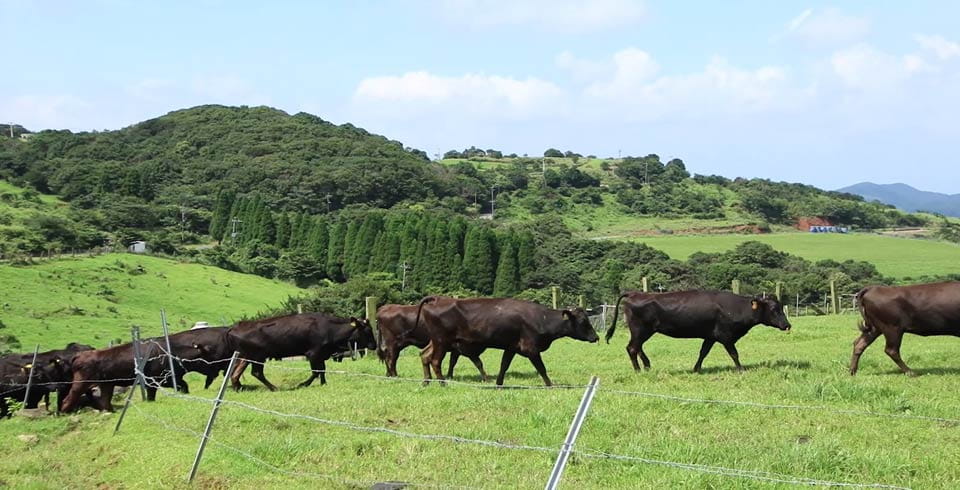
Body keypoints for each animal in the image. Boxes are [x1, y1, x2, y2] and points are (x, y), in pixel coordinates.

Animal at [225, 314, 376, 390]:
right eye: (368, 331)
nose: (374, 345)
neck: (330, 329)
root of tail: (236, 326)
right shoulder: (313, 353)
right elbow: (316, 371)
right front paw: (303, 384)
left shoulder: (321, 354)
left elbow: (322, 370)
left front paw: (324, 383)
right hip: (258, 356)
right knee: (256, 373)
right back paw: (274, 388)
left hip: (245, 356)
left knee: (235, 372)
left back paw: (238, 387)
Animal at [414, 294, 596, 386]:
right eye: (583, 322)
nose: (596, 337)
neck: (541, 319)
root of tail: (438, 299)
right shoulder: (531, 349)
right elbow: (542, 369)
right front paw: (550, 385)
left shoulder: (511, 347)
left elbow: (504, 365)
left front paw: (499, 383)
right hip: (441, 341)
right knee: (435, 361)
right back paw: (442, 383)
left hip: (436, 341)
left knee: (425, 356)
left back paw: (426, 381)